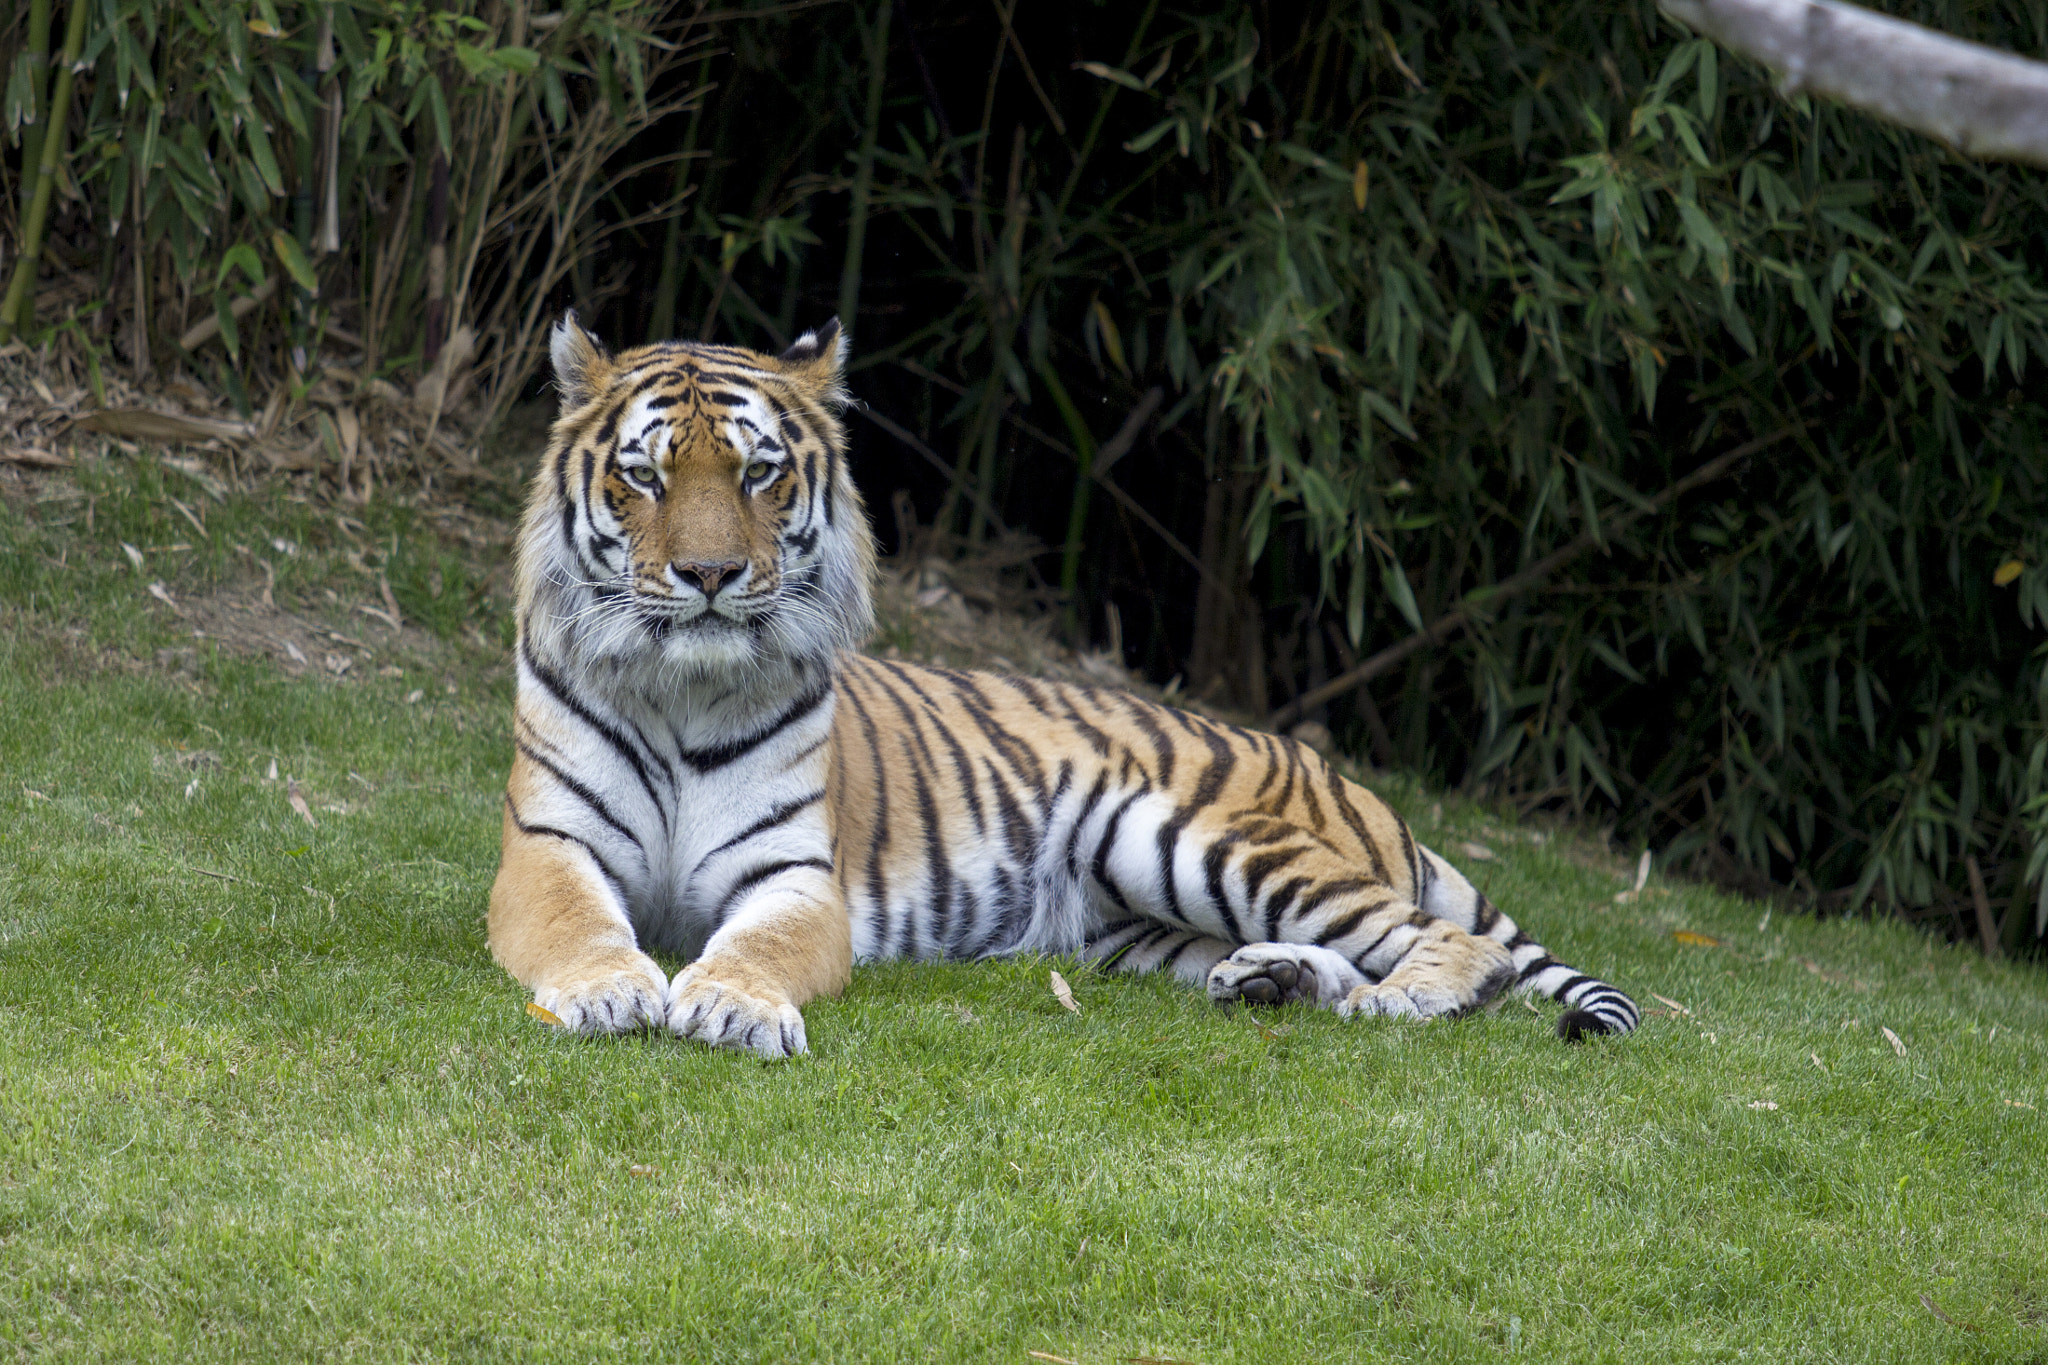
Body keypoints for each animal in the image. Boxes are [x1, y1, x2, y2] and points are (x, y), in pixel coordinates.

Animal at [486, 312, 1641, 1058]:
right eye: (643, 475)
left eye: (758, 473)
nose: (712, 575)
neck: (685, 689)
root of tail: (1339, 775)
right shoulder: (551, 849)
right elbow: (580, 927)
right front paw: (606, 991)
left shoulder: (793, 876)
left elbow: (758, 945)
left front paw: (732, 1007)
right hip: (1136, 926)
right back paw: (1267, 980)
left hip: (1191, 838)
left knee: (1454, 946)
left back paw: (1398, 1004)